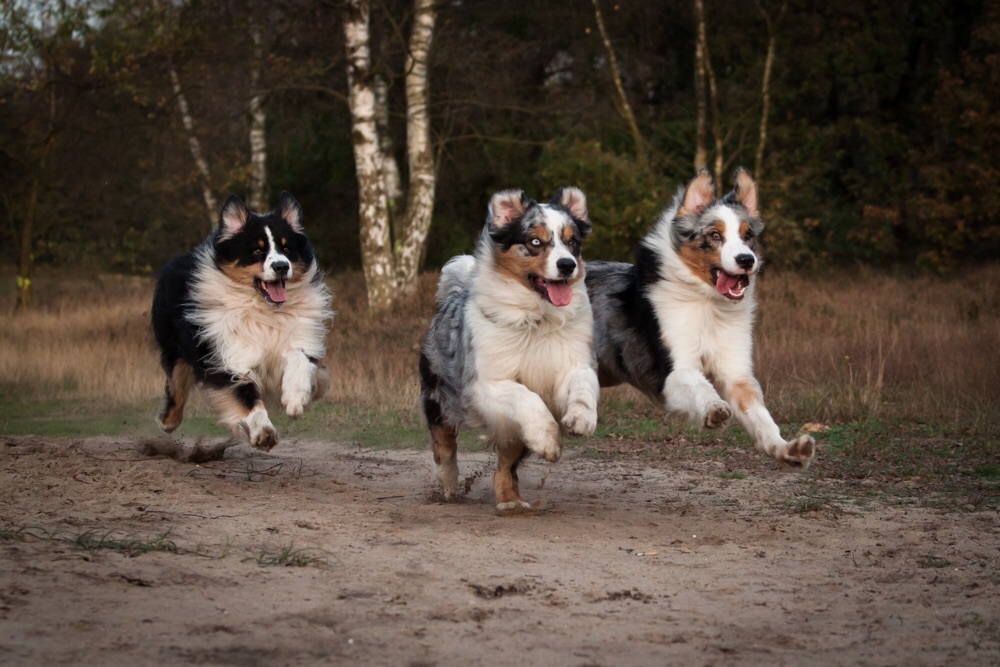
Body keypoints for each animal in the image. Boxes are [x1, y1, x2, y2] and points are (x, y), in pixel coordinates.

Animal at [150, 193, 334, 454]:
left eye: (286, 248)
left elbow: (299, 358)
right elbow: (245, 396)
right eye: (257, 250)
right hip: (176, 347)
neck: (265, 311)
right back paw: (167, 422)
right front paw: (262, 432)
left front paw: (296, 398)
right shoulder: (229, 356)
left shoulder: (299, 340)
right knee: (176, 387)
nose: (281, 266)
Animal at [418, 188, 596, 512]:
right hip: (437, 396)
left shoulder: (571, 363)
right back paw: (449, 486)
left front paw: (581, 419)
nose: (567, 264)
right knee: (444, 446)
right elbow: (525, 397)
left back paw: (510, 501)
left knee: (505, 464)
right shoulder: (486, 383)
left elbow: (582, 386)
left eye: (572, 241)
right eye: (535, 242)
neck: (537, 318)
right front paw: (548, 439)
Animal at [588, 170, 816, 468]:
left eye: (748, 235)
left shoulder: (736, 373)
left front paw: (786, 448)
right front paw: (713, 408)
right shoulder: (674, 370)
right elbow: (699, 384)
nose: (746, 260)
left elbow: (761, 416)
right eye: (715, 235)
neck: (707, 304)